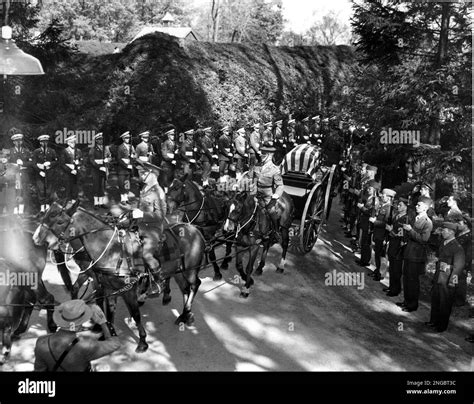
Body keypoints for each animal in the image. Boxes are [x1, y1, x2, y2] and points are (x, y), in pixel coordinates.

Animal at [31, 200, 206, 352]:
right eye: (45, 216)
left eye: (60, 221)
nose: (36, 238)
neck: (112, 250)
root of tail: (194, 228)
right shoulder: (106, 286)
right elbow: (107, 310)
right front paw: (107, 333)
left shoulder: (126, 290)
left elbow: (135, 314)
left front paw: (142, 341)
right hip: (178, 271)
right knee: (185, 289)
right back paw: (182, 315)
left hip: (190, 270)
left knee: (194, 284)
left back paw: (185, 312)